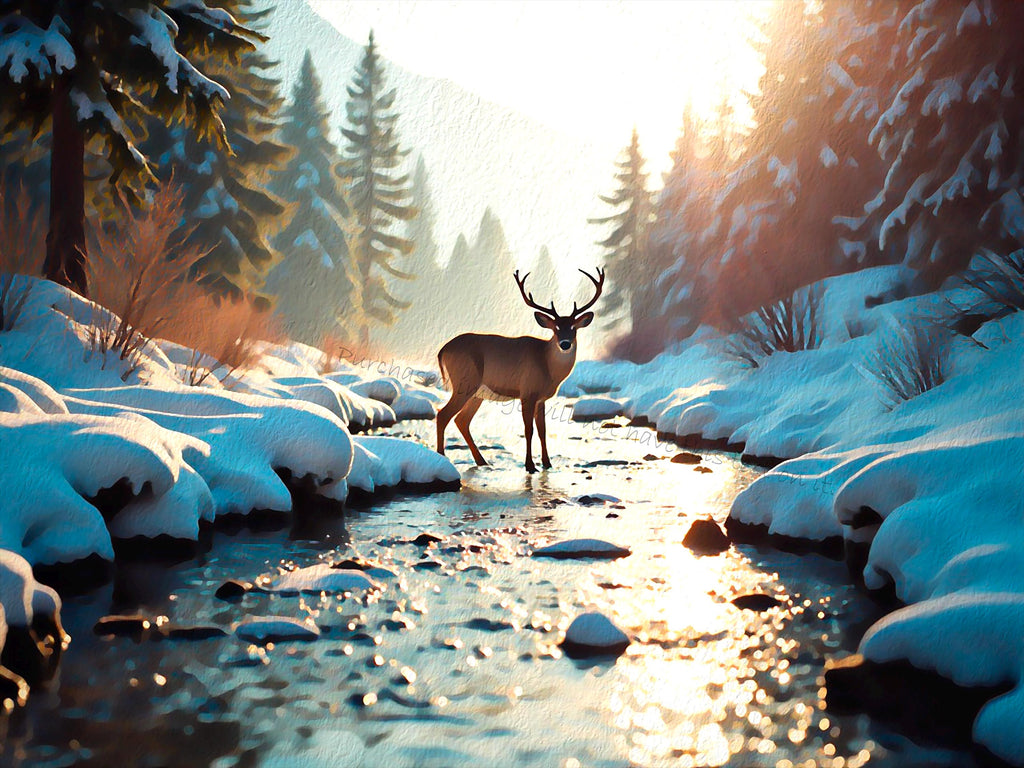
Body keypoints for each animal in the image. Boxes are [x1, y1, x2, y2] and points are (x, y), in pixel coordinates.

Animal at [436, 267, 605, 473]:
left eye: (573, 328)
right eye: (556, 328)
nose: (565, 344)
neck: (547, 365)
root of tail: (443, 350)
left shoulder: (541, 398)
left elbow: (542, 430)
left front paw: (547, 464)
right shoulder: (527, 392)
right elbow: (528, 429)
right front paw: (530, 465)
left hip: (477, 393)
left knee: (461, 420)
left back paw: (482, 462)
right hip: (464, 381)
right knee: (443, 414)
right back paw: (442, 458)